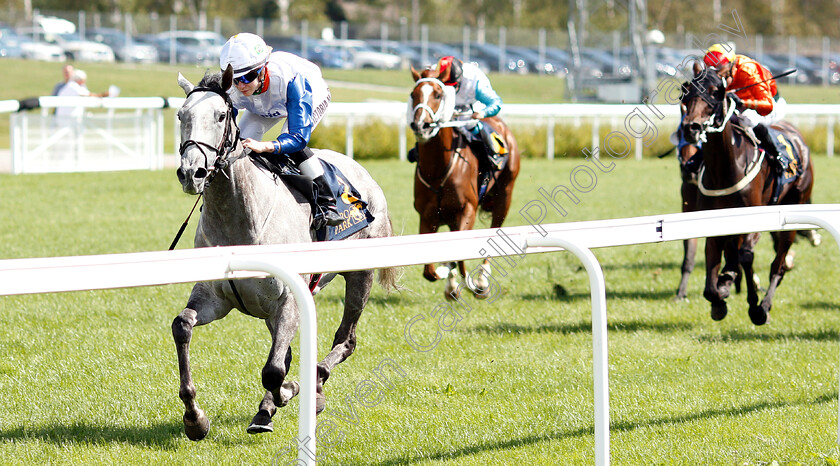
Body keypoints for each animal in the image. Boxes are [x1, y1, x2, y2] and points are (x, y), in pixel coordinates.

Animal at [172, 68, 398, 440]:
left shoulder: (290, 299)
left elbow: (274, 372)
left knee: (345, 340)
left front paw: (294, 392)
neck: (241, 222)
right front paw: (195, 418)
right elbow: (183, 326)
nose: (192, 173)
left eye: (220, 116)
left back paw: (314, 385)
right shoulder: (214, 298)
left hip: (360, 275)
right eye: (181, 116)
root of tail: (364, 175)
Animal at [408, 66, 520, 298]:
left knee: (495, 230)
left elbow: (458, 257)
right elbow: (429, 271)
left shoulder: (467, 210)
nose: (421, 125)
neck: (438, 171)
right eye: (413, 94)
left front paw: (465, 282)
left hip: (504, 196)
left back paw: (481, 281)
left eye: (438, 95)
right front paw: (447, 278)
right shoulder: (427, 216)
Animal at [684, 62, 812, 324]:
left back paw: (764, 306)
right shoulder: (713, 222)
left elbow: (746, 257)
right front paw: (719, 298)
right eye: (688, 91)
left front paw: (754, 306)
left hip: (794, 209)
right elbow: (711, 280)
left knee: (777, 265)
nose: (691, 127)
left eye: (716, 92)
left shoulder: (754, 220)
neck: (725, 168)